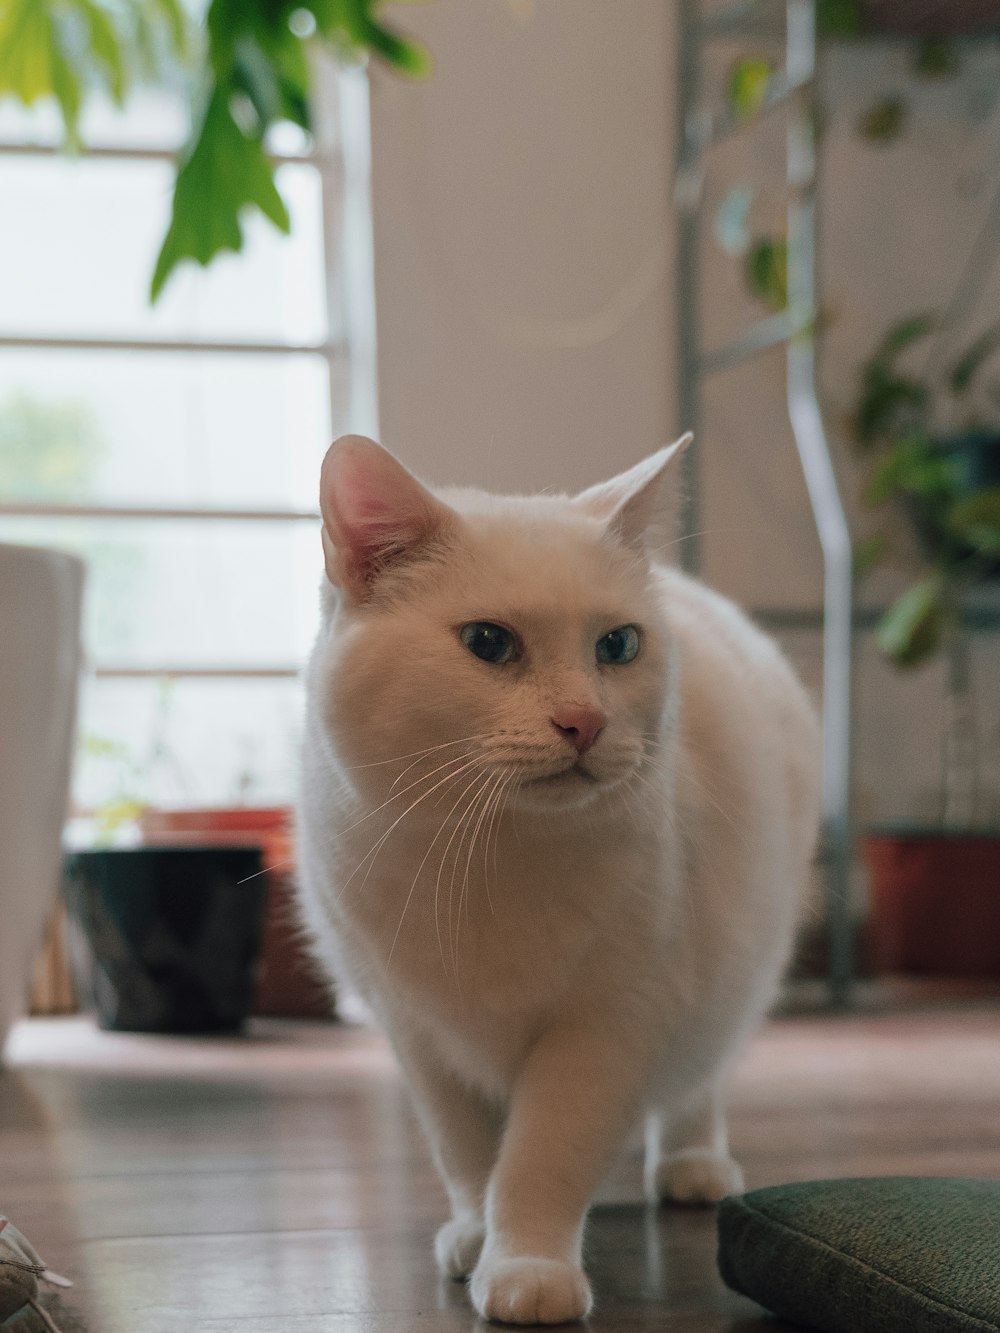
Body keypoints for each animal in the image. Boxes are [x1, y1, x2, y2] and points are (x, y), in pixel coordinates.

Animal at [296, 434, 821, 1322]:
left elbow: (541, 1158)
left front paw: (525, 1267)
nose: (587, 721)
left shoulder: (605, 1028)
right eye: (487, 642)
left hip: (733, 967)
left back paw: (691, 1165)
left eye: (617, 646)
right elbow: (468, 1154)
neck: (492, 857)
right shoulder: (419, 1034)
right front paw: (477, 1236)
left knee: (701, 1075)